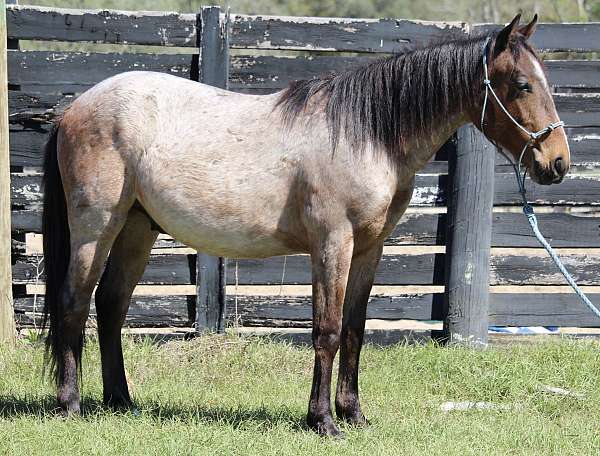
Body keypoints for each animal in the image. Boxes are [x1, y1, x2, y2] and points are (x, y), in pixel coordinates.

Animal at [41, 12, 568, 436]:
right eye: (522, 85)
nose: (557, 163)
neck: (365, 135)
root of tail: (75, 108)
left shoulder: (369, 249)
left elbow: (354, 330)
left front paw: (354, 415)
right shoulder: (332, 244)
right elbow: (327, 330)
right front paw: (323, 421)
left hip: (137, 227)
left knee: (110, 306)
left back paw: (121, 402)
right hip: (96, 227)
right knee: (73, 302)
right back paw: (70, 405)